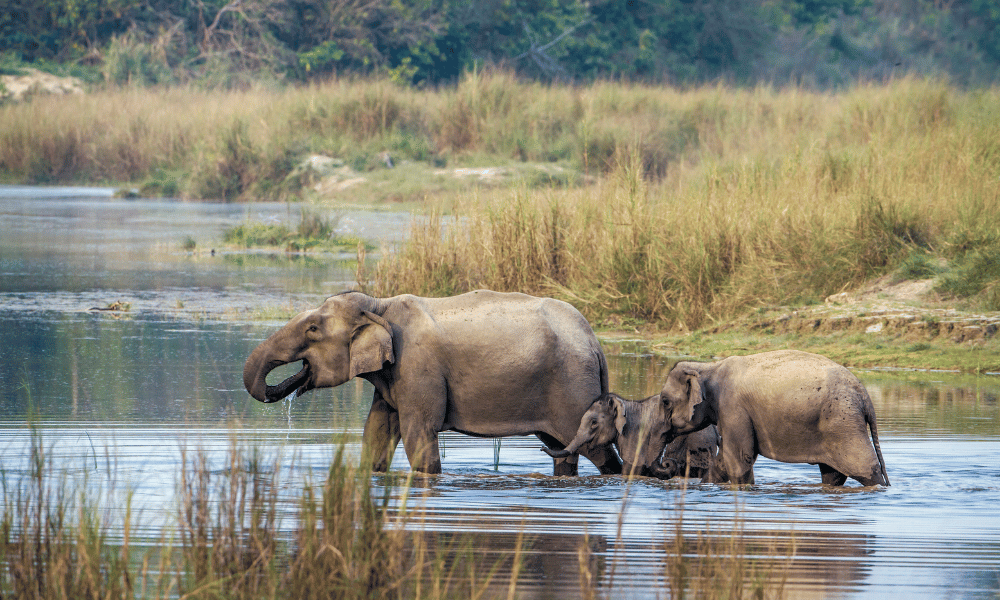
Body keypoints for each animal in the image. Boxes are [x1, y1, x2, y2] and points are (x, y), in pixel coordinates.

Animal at [242, 288, 620, 476]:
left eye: (312, 329)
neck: (380, 304)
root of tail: (594, 341)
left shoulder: (417, 365)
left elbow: (417, 432)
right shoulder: (393, 376)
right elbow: (377, 430)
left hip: (572, 386)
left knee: (595, 449)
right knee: (562, 448)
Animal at [660, 350, 888, 486]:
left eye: (665, 401)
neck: (707, 367)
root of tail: (864, 395)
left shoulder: (733, 407)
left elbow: (739, 458)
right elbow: (726, 459)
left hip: (843, 421)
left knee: (864, 467)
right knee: (833, 473)